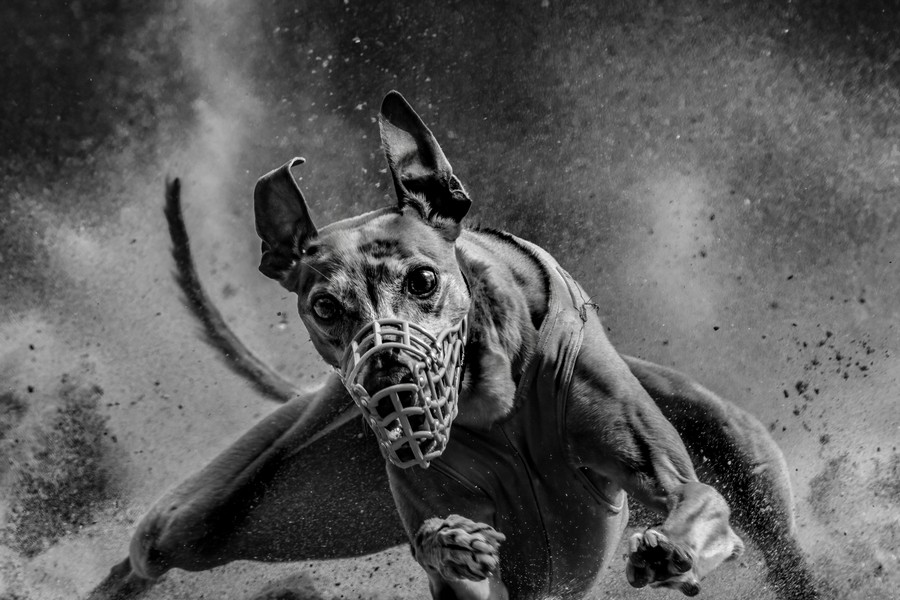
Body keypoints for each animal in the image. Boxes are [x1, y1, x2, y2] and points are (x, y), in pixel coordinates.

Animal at [92, 92, 820, 600]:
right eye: (325, 306)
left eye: (422, 279)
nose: (387, 377)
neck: (495, 406)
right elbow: (447, 553)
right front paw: (452, 541)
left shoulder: (661, 471)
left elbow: (698, 501)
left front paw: (673, 548)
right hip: (228, 503)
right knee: (156, 543)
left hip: (734, 447)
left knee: (769, 524)